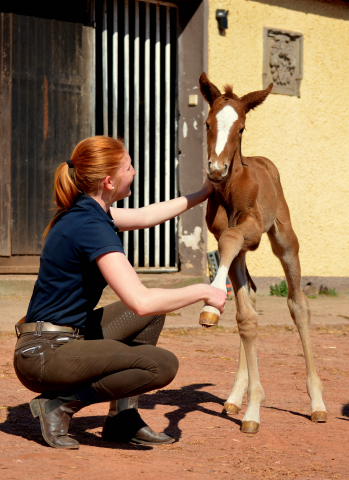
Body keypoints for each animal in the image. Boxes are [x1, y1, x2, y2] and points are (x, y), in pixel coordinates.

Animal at [198, 72, 326, 436]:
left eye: (241, 128)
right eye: (208, 123)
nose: (216, 169)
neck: (230, 189)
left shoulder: (251, 228)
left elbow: (230, 241)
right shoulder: (229, 240)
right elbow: (246, 319)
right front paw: (250, 404)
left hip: (283, 238)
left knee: (299, 306)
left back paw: (317, 404)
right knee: (252, 298)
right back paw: (234, 397)